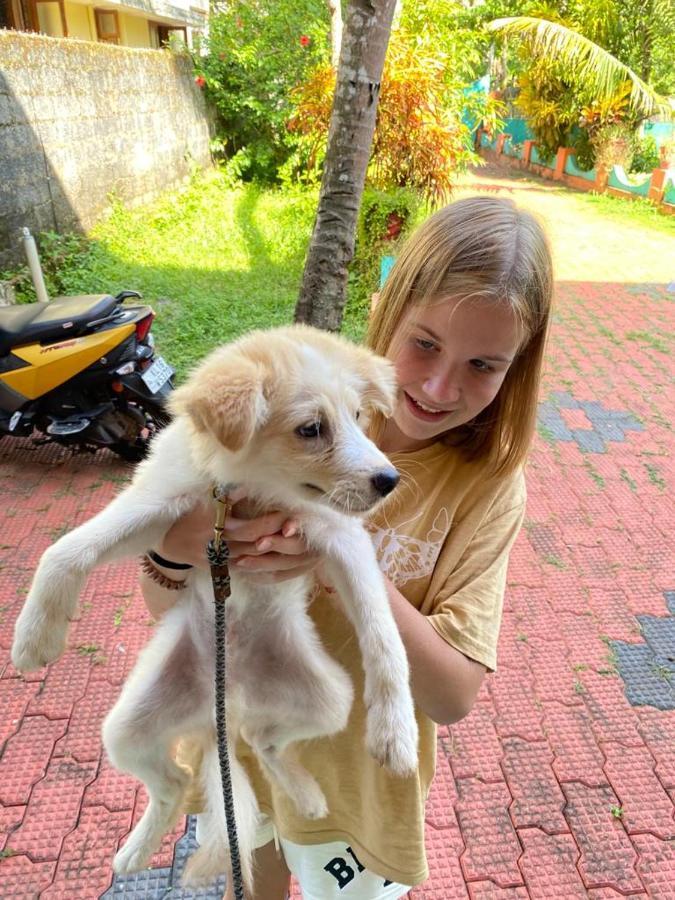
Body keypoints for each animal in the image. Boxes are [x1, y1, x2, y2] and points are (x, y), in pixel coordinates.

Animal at [10, 326, 420, 892]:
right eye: (311, 429)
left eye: (358, 415)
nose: (389, 480)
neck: (252, 493)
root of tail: (223, 702)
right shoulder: (162, 505)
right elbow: (66, 548)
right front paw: (34, 639)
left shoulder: (338, 534)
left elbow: (385, 637)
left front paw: (396, 730)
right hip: (128, 725)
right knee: (176, 781)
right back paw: (135, 853)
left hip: (329, 698)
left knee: (262, 741)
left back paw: (305, 794)